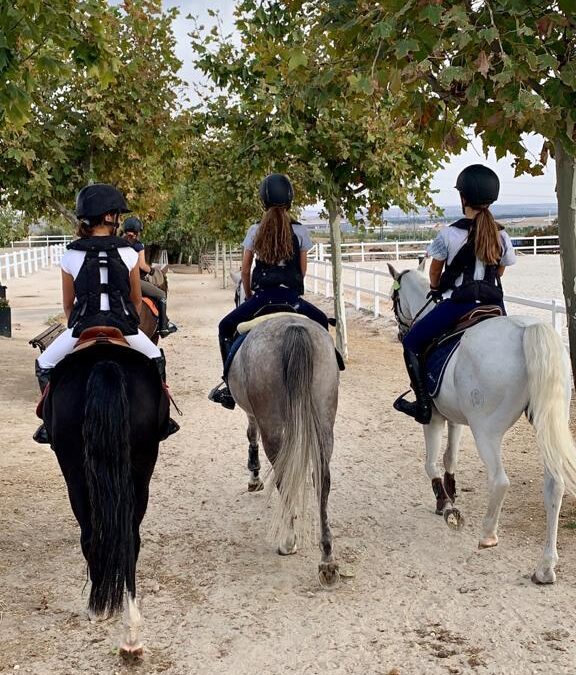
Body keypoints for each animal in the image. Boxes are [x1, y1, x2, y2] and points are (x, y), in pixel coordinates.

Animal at [42, 340, 169, 656]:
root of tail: (105, 363)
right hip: (140, 468)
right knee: (129, 539)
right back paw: (132, 631)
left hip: (74, 473)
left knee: (91, 536)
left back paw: (99, 610)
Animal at [226, 316, 342, 588]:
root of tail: (294, 328)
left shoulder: (252, 414)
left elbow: (251, 434)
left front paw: (254, 478)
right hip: (324, 418)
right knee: (322, 480)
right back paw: (327, 560)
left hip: (272, 423)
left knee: (283, 476)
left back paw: (288, 542)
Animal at [388, 262, 576, 584]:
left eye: (393, 299)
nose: (402, 332)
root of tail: (526, 329)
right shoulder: (454, 418)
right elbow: (450, 457)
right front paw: (449, 494)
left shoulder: (433, 418)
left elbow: (431, 463)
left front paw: (446, 504)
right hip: (546, 423)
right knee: (554, 485)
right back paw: (545, 567)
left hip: (486, 430)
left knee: (500, 481)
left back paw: (488, 534)